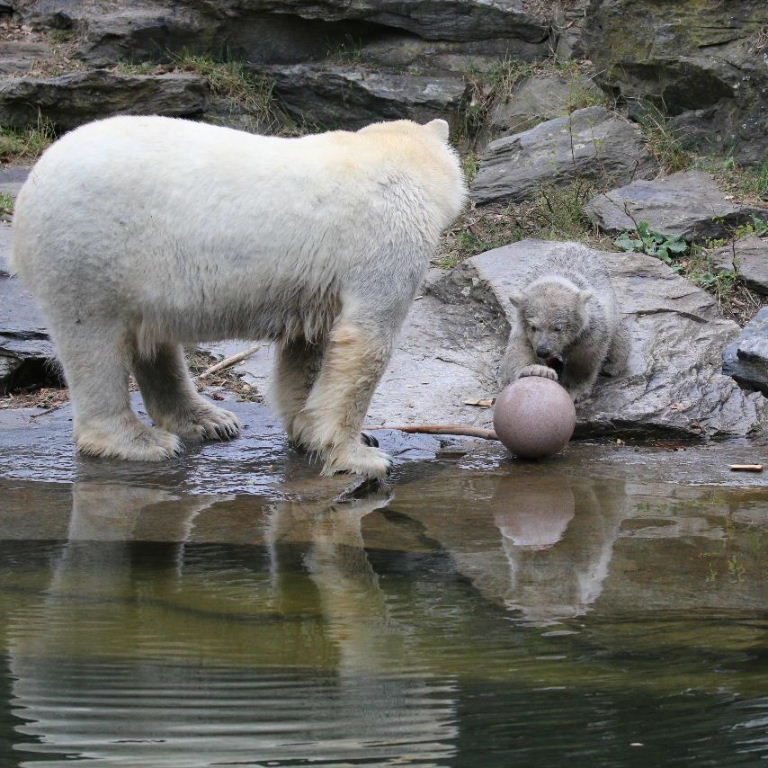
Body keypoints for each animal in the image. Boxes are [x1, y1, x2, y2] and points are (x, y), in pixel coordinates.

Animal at [10, 115, 466, 478]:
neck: (393, 156)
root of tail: (29, 189)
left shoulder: (316, 279)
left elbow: (309, 345)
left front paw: (309, 429)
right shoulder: (385, 239)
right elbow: (365, 343)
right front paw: (361, 455)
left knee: (149, 338)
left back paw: (206, 419)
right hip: (90, 248)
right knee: (95, 345)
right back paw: (140, 441)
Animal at [500, 243, 629, 403]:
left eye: (558, 328)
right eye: (533, 327)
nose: (543, 351)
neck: (558, 277)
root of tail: (574, 244)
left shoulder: (591, 329)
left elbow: (585, 357)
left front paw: (573, 390)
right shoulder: (522, 327)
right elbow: (520, 349)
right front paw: (538, 371)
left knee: (619, 338)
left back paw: (612, 366)